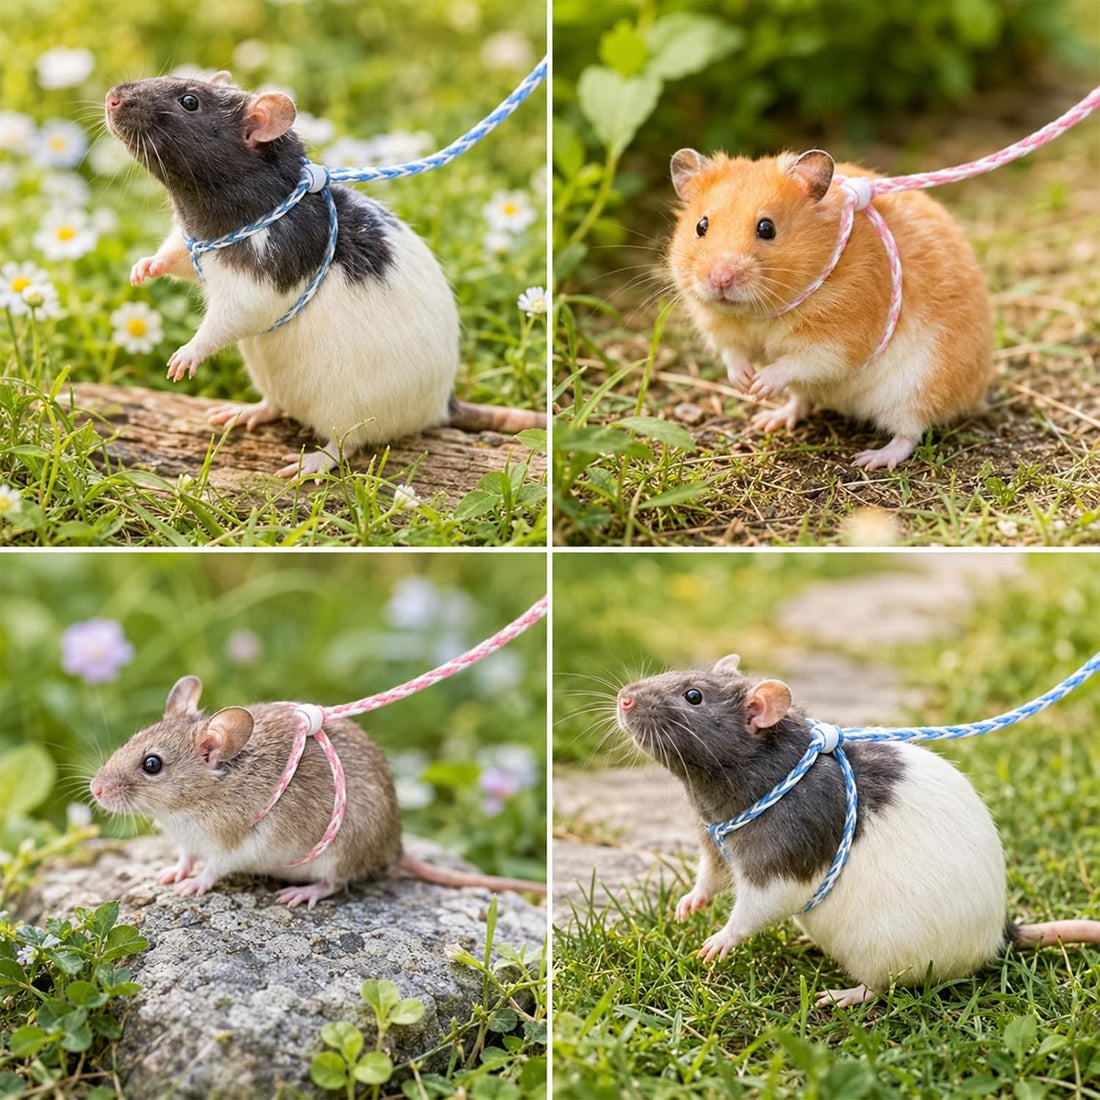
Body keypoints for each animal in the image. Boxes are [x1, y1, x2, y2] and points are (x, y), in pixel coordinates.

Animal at [89, 676, 545, 908]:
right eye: (132, 740)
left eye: (152, 764)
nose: (95, 789)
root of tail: (393, 850)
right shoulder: (188, 840)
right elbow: (185, 856)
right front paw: (170, 874)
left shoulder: (233, 844)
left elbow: (214, 868)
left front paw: (191, 886)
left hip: (338, 853)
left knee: (335, 883)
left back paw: (300, 893)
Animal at [105, 71, 542, 479]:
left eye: (190, 101)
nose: (111, 97)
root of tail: (439, 407)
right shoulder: (195, 242)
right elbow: (176, 255)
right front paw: (146, 266)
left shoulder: (263, 274)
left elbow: (237, 316)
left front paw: (189, 352)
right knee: (276, 404)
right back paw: (251, 412)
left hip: (352, 410)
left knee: (346, 446)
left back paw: (312, 463)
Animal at [616, 654, 1099, 1007]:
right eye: (679, 676)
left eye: (693, 696)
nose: (623, 698)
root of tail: (997, 937)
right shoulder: (715, 838)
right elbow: (712, 874)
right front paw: (691, 902)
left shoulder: (786, 845)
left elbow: (766, 901)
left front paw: (723, 938)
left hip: (885, 952)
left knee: (882, 986)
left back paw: (847, 994)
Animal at [668, 149, 994, 470]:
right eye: (701, 226)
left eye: (767, 228)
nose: (720, 279)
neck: (762, 311)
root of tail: (976, 391)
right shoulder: (721, 329)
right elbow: (733, 353)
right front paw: (743, 383)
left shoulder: (839, 341)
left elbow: (799, 362)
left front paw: (759, 385)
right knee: (801, 400)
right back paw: (770, 420)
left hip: (920, 385)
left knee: (909, 433)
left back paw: (871, 460)